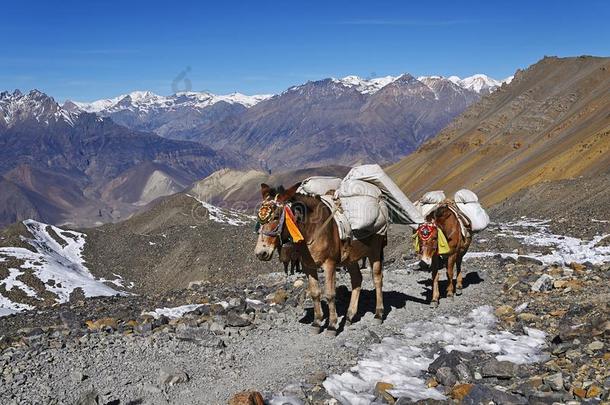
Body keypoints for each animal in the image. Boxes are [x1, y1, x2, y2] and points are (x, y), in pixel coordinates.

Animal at [252, 181, 384, 332]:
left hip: (375, 251)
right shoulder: (308, 266)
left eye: (275, 217)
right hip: (351, 258)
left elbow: (330, 294)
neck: (313, 229)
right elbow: (315, 293)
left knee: (377, 278)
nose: (261, 253)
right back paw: (350, 316)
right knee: (357, 279)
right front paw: (317, 322)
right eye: (259, 219)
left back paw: (378, 314)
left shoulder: (329, 264)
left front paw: (332, 326)